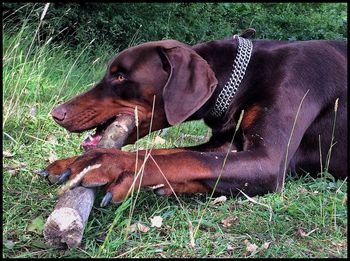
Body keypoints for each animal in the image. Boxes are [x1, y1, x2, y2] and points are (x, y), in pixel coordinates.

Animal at [41, 31, 348, 205]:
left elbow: (183, 158)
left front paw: (104, 162)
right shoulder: (226, 142)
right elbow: (171, 153)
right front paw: (72, 161)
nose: (57, 113)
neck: (247, 77)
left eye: (120, 77)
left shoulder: (268, 160)